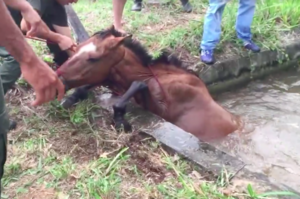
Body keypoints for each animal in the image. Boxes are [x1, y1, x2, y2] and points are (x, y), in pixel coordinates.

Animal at [57, 25, 243, 142]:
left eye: (93, 58)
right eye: (76, 48)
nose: (59, 78)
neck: (155, 76)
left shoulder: (164, 107)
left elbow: (136, 86)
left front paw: (120, 120)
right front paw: (70, 98)